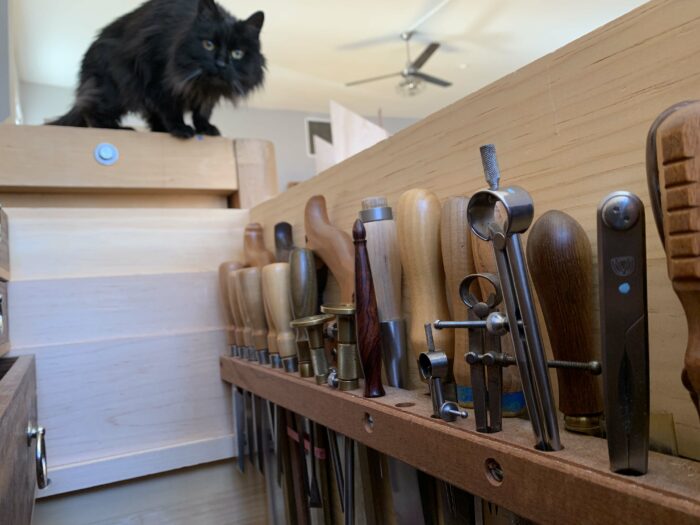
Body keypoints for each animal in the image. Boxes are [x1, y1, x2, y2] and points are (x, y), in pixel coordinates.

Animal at [50, 0, 266, 138]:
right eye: (208, 45)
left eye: (237, 53)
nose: (221, 64)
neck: (200, 85)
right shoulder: (157, 77)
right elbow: (171, 110)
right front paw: (180, 129)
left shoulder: (207, 94)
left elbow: (202, 112)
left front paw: (205, 128)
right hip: (117, 86)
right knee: (91, 110)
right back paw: (119, 129)